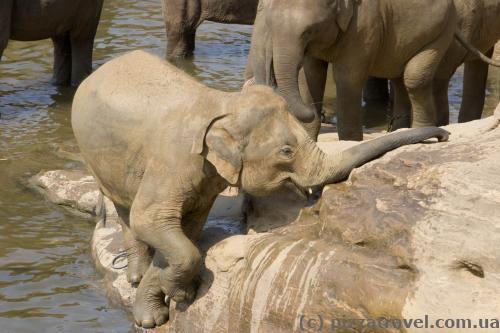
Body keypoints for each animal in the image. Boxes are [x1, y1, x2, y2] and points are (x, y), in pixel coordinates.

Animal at [71, 50, 450, 328]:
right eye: (286, 152)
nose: (443, 134)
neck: (223, 104)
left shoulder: (205, 181)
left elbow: (187, 229)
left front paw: (170, 297)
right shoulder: (172, 165)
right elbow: (153, 221)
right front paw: (167, 304)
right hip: (94, 155)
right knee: (126, 211)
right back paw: (134, 275)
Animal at [248, 0, 498, 139]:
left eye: (308, 31)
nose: (321, 113)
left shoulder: (364, 27)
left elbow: (348, 79)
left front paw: (349, 142)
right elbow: (309, 77)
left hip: (440, 32)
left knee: (415, 78)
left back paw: (421, 132)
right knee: (399, 78)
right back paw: (400, 131)